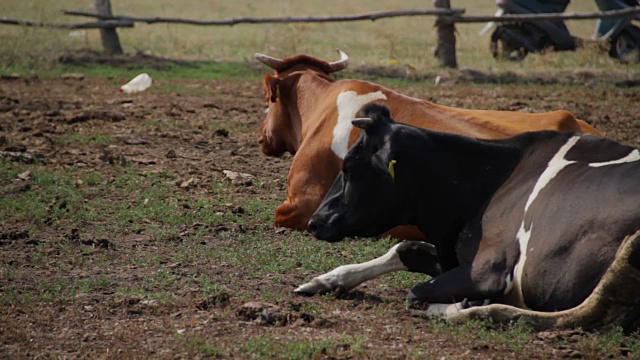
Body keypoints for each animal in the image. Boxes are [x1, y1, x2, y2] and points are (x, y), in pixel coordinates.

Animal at [298, 102, 640, 330]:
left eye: (349, 166)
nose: (315, 221)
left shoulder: (487, 270)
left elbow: (416, 290)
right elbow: (405, 248)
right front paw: (325, 279)